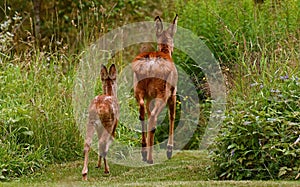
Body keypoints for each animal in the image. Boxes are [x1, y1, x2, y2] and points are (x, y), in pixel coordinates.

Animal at [132, 14, 178, 164]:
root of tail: (151, 64)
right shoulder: (173, 92)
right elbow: (172, 116)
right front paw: (169, 150)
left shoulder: (149, 97)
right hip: (162, 92)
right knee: (153, 117)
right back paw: (150, 158)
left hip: (139, 88)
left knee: (142, 113)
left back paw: (144, 152)